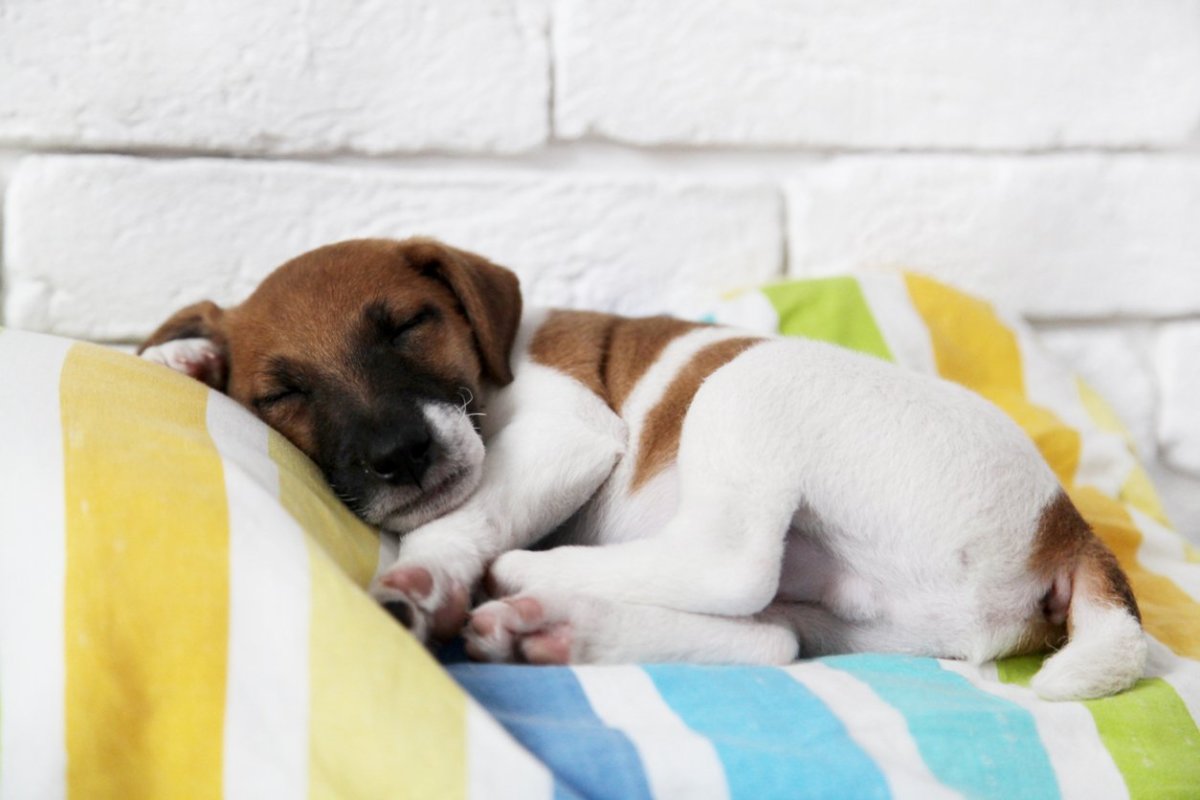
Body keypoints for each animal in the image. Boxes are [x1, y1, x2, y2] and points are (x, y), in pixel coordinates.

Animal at [138, 237, 1142, 700]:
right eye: (281, 394)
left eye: (408, 324)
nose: (399, 455)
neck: (497, 364)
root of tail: (1067, 528)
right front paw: (185, 358)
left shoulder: (570, 433)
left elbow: (461, 519)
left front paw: (422, 580)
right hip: (850, 621)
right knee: (771, 636)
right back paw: (557, 629)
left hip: (749, 385)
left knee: (730, 562)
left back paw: (534, 577)